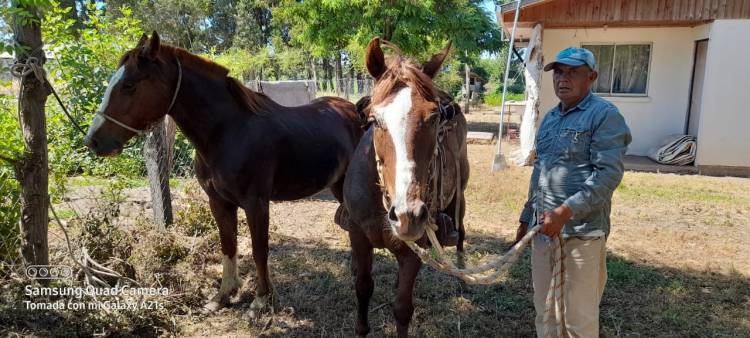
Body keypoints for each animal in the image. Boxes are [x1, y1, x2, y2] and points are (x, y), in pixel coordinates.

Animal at [83, 33, 364, 316]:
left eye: (129, 85)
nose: (93, 141)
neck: (228, 132)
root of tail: (356, 110)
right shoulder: (218, 202)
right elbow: (228, 246)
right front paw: (223, 296)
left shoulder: (256, 203)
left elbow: (259, 250)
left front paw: (260, 300)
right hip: (338, 185)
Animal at [340, 38, 472, 336]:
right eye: (374, 120)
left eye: (434, 118)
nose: (407, 216)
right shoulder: (358, 237)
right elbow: (363, 287)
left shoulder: (414, 250)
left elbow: (402, 309)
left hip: (460, 196)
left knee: (460, 232)